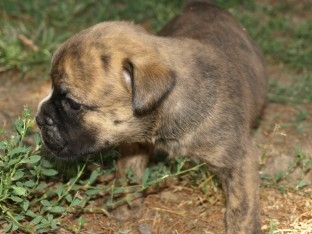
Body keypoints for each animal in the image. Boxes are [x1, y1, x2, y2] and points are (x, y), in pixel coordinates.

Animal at [36, 0, 266, 233]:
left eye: (73, 104)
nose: (39, 119)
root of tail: (203, 4)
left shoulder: (240, 161)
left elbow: (241, 209)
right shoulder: (134, 142)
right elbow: (128, 173)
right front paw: (126, 205)